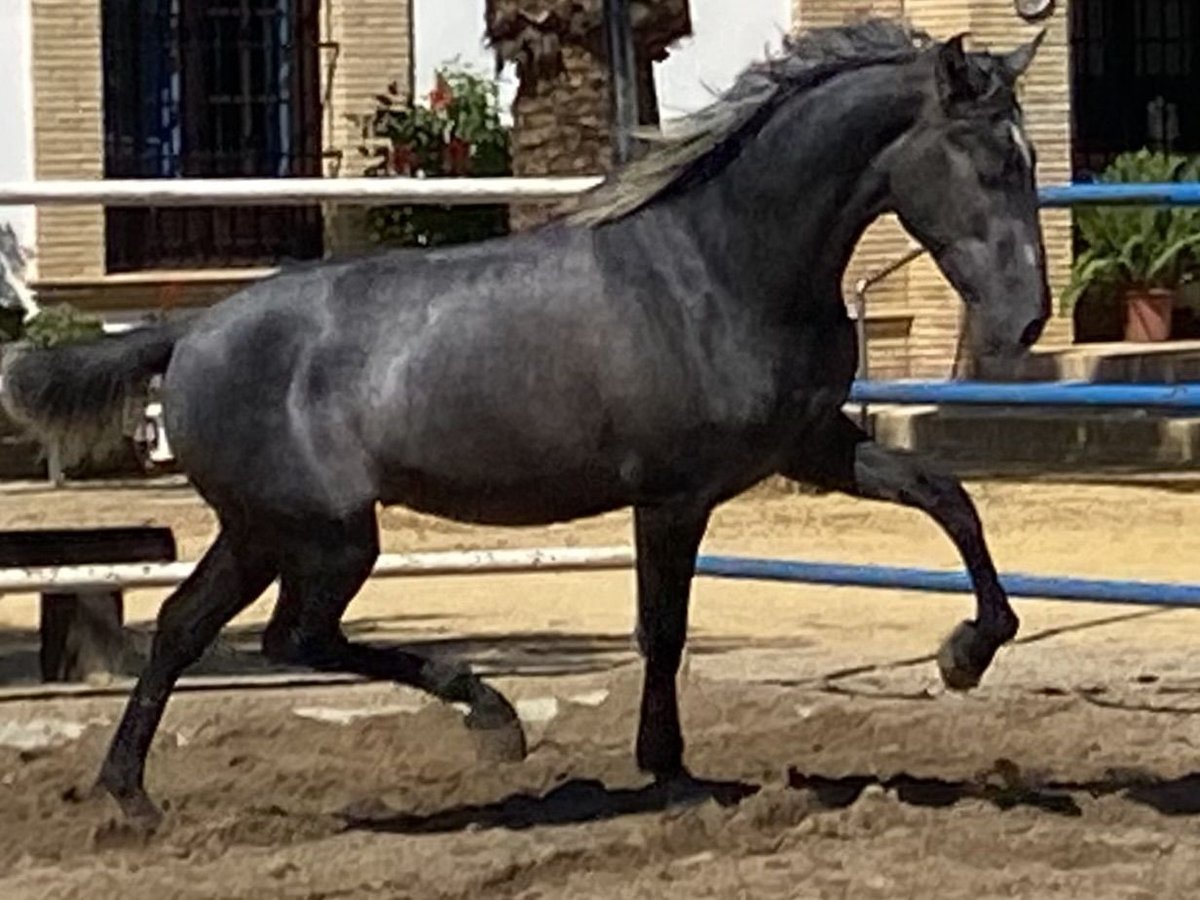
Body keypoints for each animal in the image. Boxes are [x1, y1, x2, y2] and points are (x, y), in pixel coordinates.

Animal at [0, 21, 1051, 830]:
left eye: (1034, 159)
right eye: (992, 160)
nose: (1027, 323)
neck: (718, 266)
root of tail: (189, 331)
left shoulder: (812, 446)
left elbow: (949, 498)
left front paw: (967, 653)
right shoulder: (673, 495)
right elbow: (661, 629)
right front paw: (669, 770)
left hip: (263, 531)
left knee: (189, 628)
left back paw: (130, 797)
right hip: (329, 534)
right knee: (293, 640)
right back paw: (492, 719)